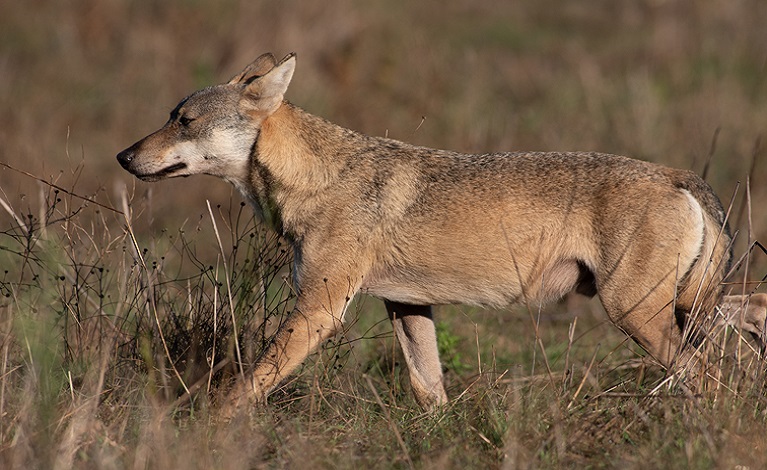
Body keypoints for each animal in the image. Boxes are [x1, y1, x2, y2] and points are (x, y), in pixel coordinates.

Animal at [115, 52, 767, 412]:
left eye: (183, 121)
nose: (123, 155)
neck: (315, 179)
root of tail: (679, 174)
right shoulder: (407, 305)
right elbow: (430, 392)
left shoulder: (321, 309)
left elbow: (247, 386)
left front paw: (205, 430)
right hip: (683, 307)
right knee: (747, 322)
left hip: (640, 314)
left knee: (712, 376)